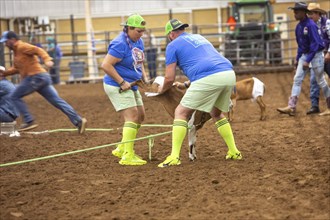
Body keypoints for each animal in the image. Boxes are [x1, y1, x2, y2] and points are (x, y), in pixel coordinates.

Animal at [137, 76, 266, 161]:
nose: (230, 105)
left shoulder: (192, 127)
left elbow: (192, 143)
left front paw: (192, 157)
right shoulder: (193, 127)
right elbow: (192, 142)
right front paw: (192, 156)